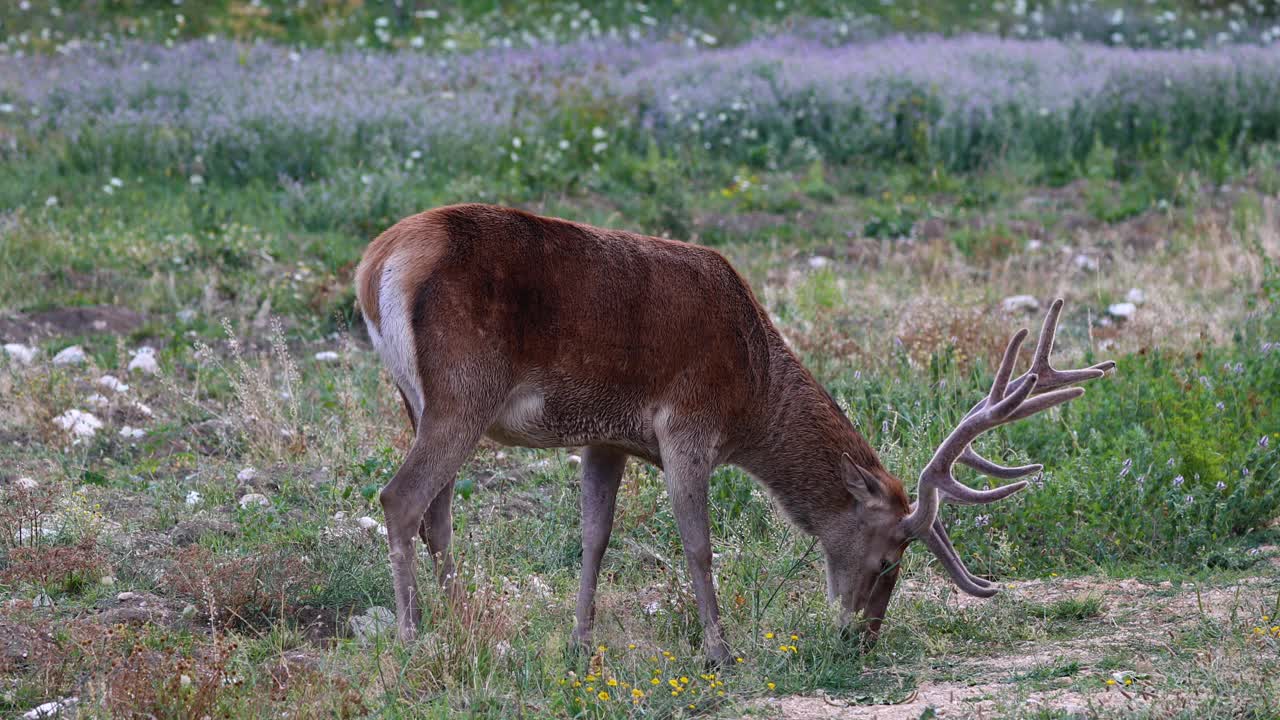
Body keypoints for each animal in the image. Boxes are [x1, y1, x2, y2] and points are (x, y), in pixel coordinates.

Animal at [355, 203, 1116, 661]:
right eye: (888, 560)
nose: (861, 640)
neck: (753, 394)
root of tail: (374, 265)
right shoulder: (688, 424)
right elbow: (698, 545)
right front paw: (720, 650)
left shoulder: (607, 438)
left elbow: (594, 537)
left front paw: (580, 640)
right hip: (464, 390)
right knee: (400, 498)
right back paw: (414, 635)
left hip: (419, 400)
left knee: (438, 512)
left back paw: (463, 621)